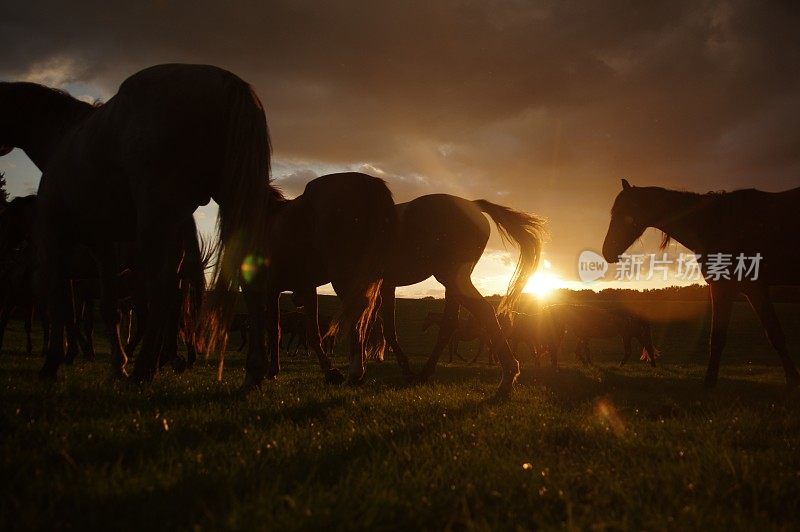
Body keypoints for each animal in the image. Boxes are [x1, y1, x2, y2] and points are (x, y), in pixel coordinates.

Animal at [0, 64, 272, 384]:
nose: (7, 246)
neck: (64, 137)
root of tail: (228, 82)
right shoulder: (103, 244)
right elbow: (108, 308)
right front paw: (118, 364)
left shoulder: (57, 241)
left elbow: (62, 307)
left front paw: (54, 362)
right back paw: (251, 371)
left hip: (155, 223)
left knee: (163, 292)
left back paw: (145, 369)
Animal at [380, 193, 544, 392]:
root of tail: (472, 205)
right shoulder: (386, 285)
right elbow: (386, 327)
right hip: (453, 282)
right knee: (450, 323)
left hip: (451, 276)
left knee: (483, 312)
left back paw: (507, 376)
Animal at [604, 181, 796, 388]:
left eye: (625, 213)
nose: (607, 250)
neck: (714, 223)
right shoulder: (751, 290)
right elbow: (774, 334)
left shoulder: (729, 287)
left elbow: (720, 338)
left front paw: (709, 382)